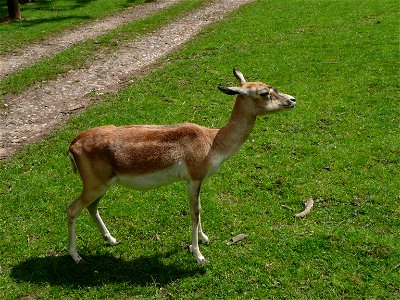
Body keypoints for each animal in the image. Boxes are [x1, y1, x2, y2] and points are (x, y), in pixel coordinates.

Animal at [67, 69, 296, 264]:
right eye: (264, 92)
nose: (292, 100)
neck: (212, 142)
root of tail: (73, 144)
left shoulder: (196, 180)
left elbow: (198, 209)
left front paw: (204, 238)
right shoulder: (194, 178)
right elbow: (195, 212)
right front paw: (199, 256)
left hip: (102, 185)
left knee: (91, 207)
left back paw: (112, 240)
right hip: (94, 184)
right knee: (72, 208)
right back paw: (76, 256)